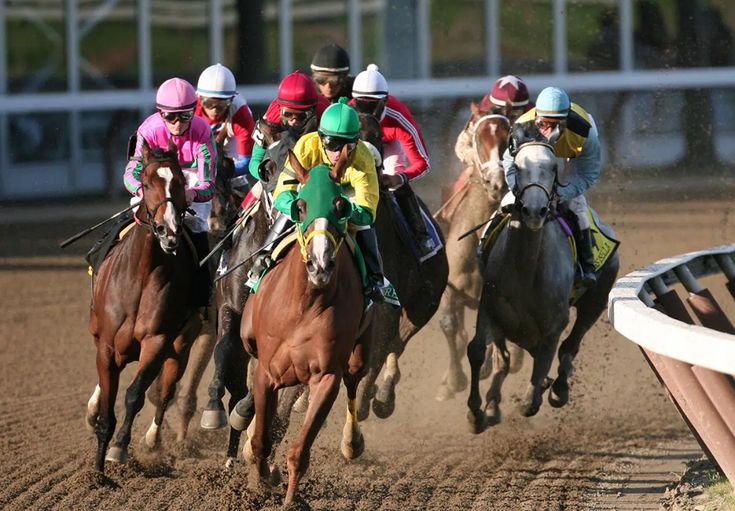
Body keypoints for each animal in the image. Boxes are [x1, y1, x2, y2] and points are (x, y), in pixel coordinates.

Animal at [85, 139, 201, 472]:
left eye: (180, 181)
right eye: (146, 183)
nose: (168, 231)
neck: (140, 274)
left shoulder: (157, 340)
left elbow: (135, 394)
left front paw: (118, 448)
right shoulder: (107, 344)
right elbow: (107, 401)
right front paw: (97, 470)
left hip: (181, 344)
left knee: (164, 392)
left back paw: (152, 440)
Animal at [240, 150, 370, 506]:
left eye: (340, 206)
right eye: (300, 205)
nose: (320, 264)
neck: (305, 305)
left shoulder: (326, 376)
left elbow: (299, 450)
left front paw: (289, 500)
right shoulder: (267, 371)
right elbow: (261, 439)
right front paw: (260, 482)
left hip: (357, 354)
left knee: (354, 379)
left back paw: (352, 442)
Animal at [356, 114, 448, 422]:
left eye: (376, 136)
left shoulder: (389, 305)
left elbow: (379, 353)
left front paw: (363, 400)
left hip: (424, 304)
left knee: (397, 345)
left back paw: (383, 395)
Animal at [434, 103, 528, 400]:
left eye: (509, 139)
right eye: (476, 137)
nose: (496, 182)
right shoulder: (451, 288)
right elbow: (450, 325)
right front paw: (453, 380)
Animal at [468, 142, 620, 434]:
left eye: (552, 168)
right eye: (517, 166)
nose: (534, 211)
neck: (525, 270)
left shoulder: (554, 324)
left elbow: (537, 382)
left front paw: (536, 394)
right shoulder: (489, 309)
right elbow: (477, 350)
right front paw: (476, 413)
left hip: (595, 301)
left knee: (570, 347)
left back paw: (558, 389)